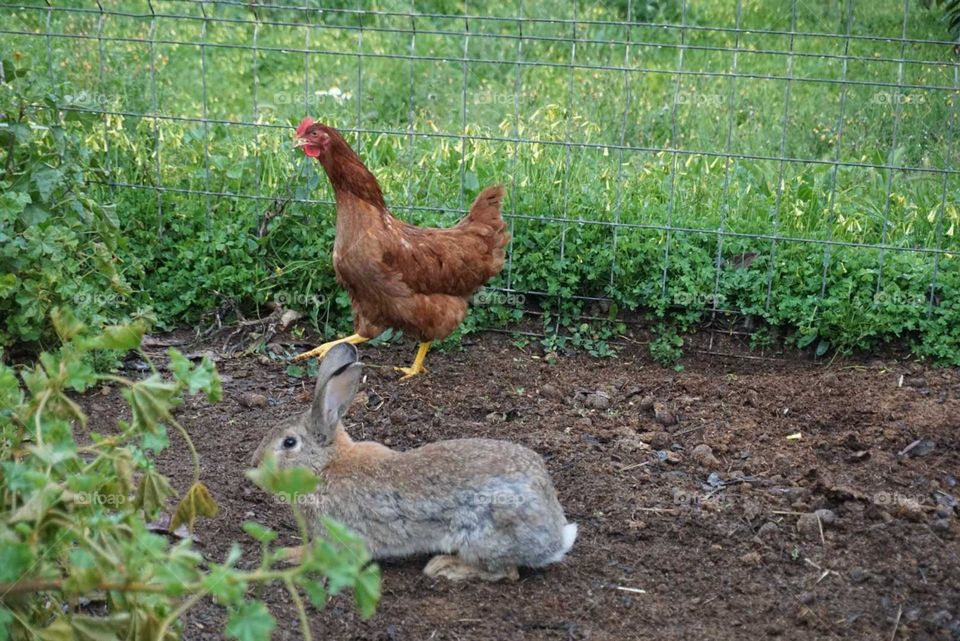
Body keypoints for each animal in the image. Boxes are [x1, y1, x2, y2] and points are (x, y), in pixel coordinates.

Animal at [251, 344, 572, 580]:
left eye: (289, 443)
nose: (255, 463)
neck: (325, 466)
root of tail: (555, 536)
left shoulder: (336, 534)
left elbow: (316, 555)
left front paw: (288, 555)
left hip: (483, 535)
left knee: (506, 571)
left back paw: (444, 567)